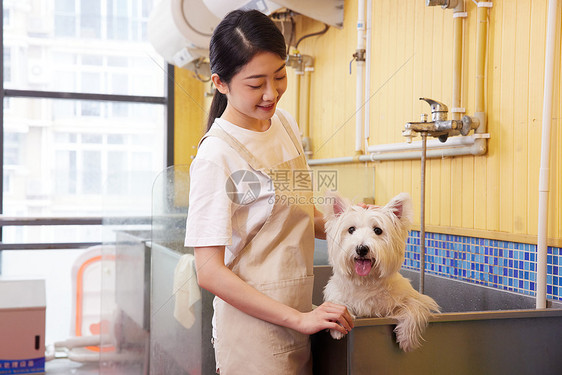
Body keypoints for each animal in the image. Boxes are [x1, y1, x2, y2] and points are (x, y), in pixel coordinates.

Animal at [324, 194, 438, 352]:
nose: (361, 249)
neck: (365, 281)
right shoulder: (336, 293)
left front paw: (406, 339)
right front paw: (338, 326)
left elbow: (413, 307)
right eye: (351, 229)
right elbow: (337, 303)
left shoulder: (413, 299)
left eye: (378, 230)